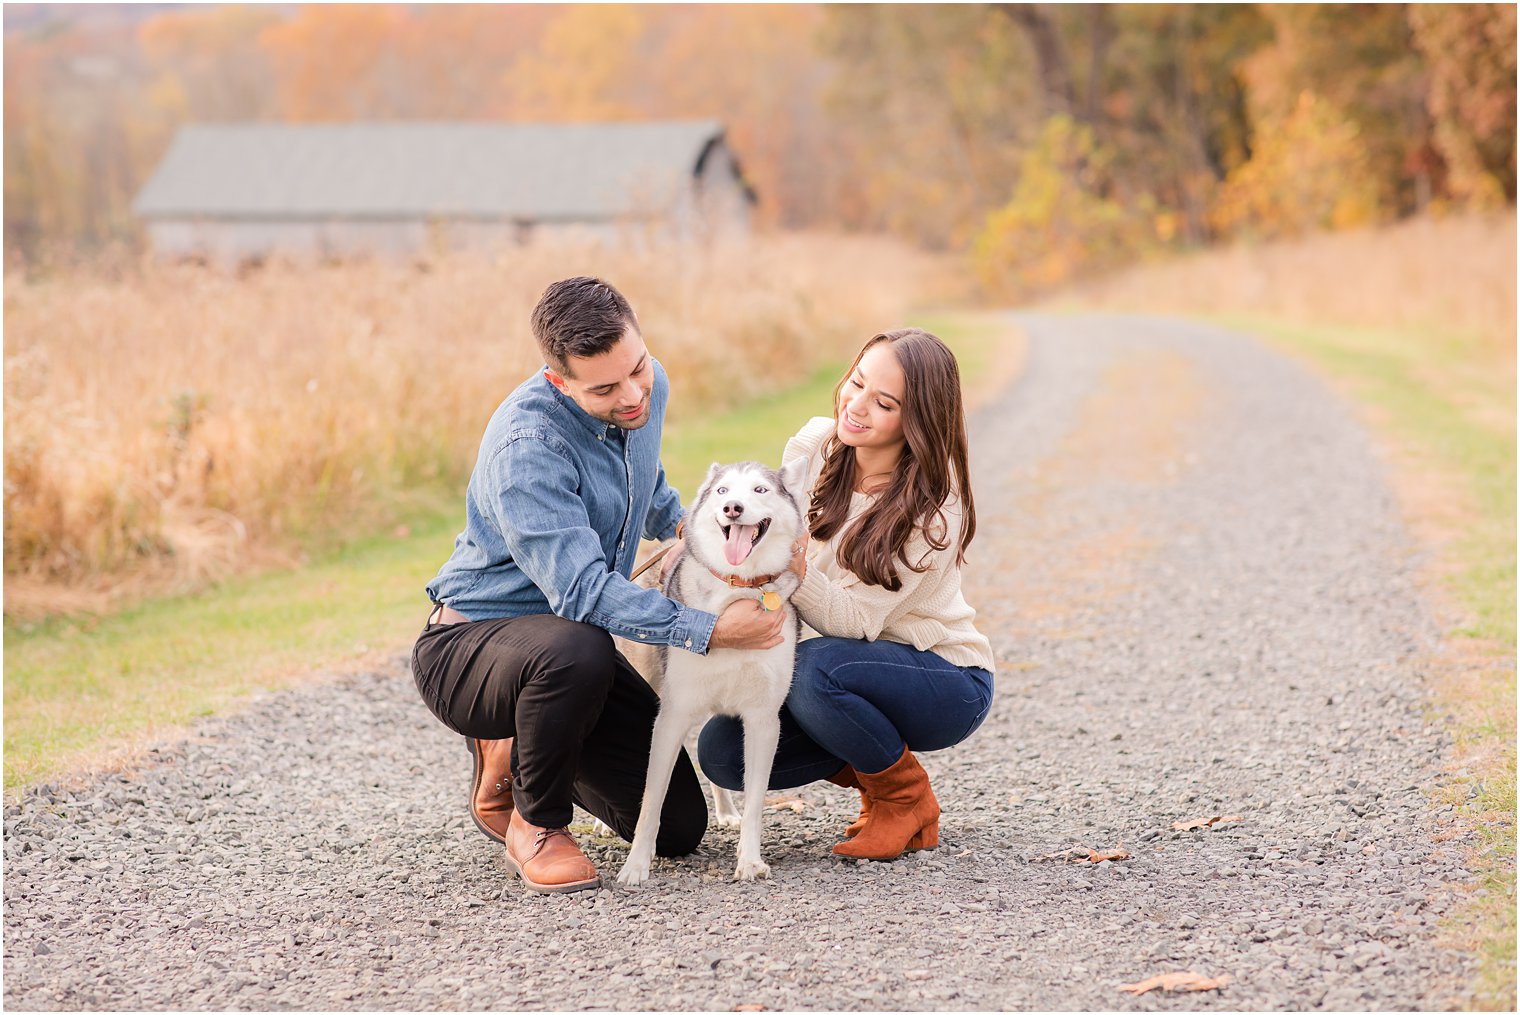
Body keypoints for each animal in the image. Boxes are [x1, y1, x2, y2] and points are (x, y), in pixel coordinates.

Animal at [614, 455, 814, 881]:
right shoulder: (671, 716)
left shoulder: (762, 720)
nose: (731, 508)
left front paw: (750, 860)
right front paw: (636, 866)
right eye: (722, 490)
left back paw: (725, 811)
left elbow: (755, 800)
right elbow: (651, 801)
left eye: (760, 489)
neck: (738, 589)